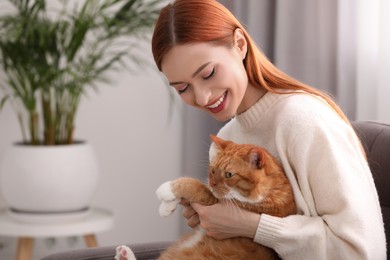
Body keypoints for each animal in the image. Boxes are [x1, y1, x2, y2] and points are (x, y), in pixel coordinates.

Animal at [155, 135, 296, 258]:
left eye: (229, 174)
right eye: (212, 171)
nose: (212, 183)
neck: (272, 191)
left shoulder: (218, 201)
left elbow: (195, 186)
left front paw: (166, 189)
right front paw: (167, 207)